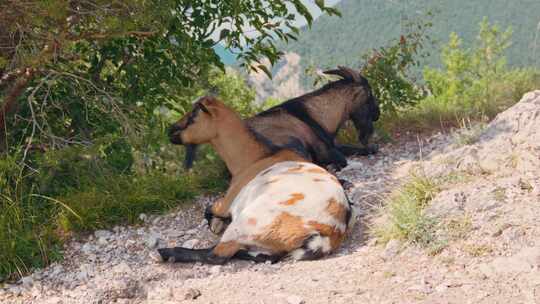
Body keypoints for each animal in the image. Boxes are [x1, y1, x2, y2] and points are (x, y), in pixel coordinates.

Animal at [152, 97, 354, 264]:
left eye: (194, 115)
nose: (171, 130)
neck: (255, 158)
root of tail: (330, 232)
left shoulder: (227, 201)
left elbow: (209, 209)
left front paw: (215, 223)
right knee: (265, 256)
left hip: (247, 222)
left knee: (217, 255)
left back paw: (165, 253)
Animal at [185, 65, 380, 171]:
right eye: (369, 94)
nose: (377, 115)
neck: (315, 114)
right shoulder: (324, 148)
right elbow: (341, 158)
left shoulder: (334, 144)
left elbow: (362, 149)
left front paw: (371, 147)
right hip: (292, 142)